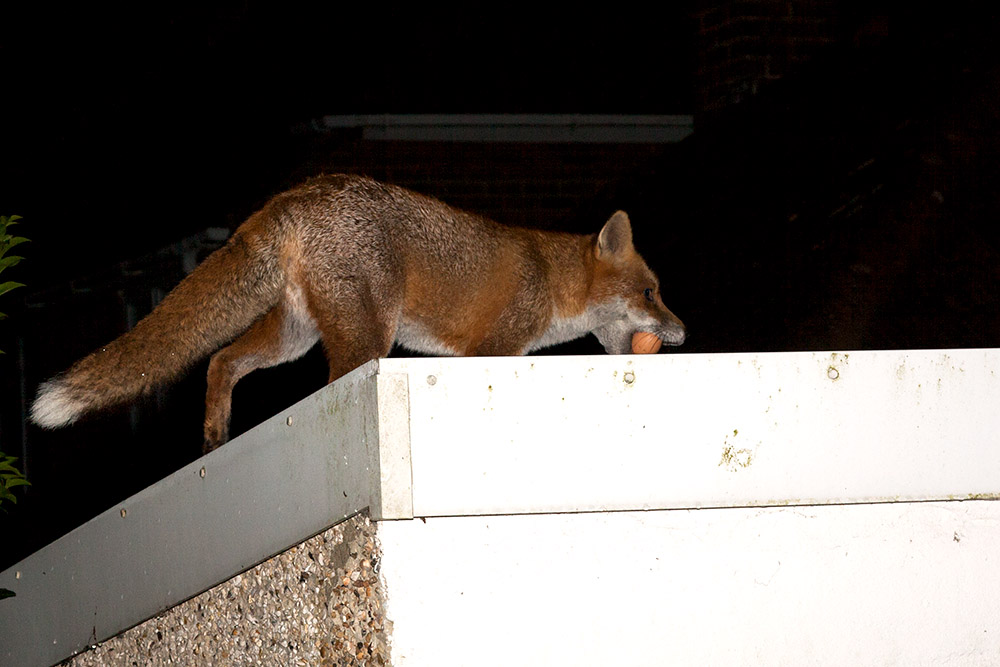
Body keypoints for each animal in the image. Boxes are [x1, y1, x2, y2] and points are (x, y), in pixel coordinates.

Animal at [30, 174, 685, 452]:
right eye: (652, 294)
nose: (683, 331)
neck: (550, 281)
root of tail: (293, 195)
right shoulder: (492, 347)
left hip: (292, 337)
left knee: (220, 360)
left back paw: (215, 434)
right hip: (367, 338)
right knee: (322, 386)